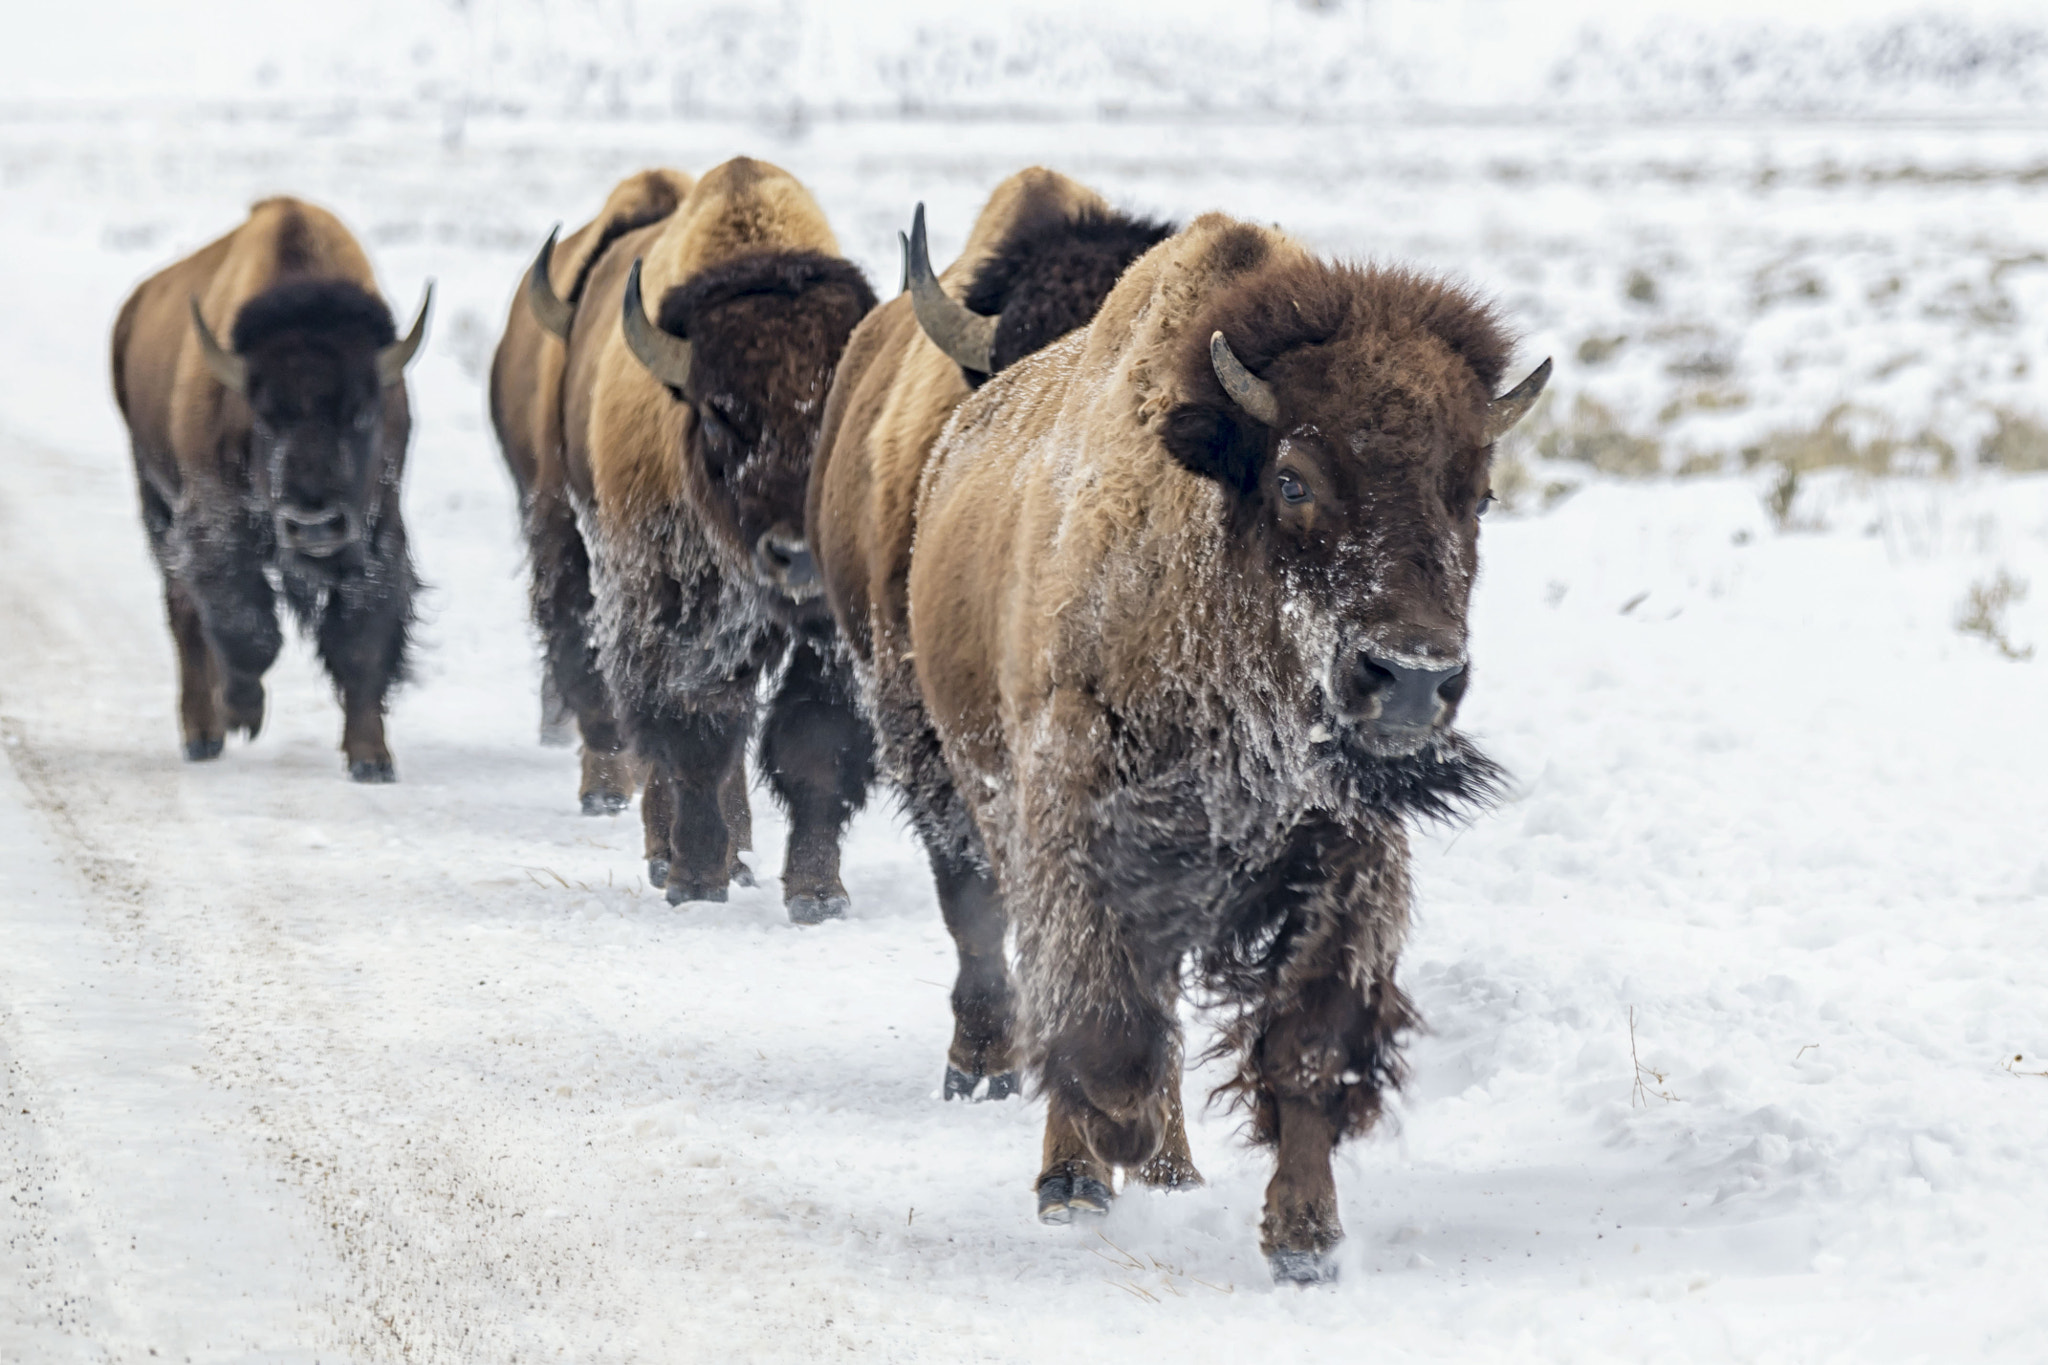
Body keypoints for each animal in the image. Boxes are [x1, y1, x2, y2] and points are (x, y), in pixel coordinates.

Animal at [111, 196, 430, 780]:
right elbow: (247, 629)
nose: (313, 524)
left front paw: (371, 759)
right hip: (156, 501)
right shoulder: (215, 526)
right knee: (184, 613)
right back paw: (204, 733)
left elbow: (361, 643)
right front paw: (242, 712)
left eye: (362, 413)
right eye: (264, 417)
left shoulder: (379, 534)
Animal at [847, 210, 1548, 1281]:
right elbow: (1102, 1016)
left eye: (1476, 491)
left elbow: (1308, 1043)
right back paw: (1080, 1176)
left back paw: (1170, 1172)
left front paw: (1305, 1238)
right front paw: (1107, 1145)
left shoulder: (1345, 857)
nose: (1412, 677)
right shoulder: (1078, 819)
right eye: (1294, 478)